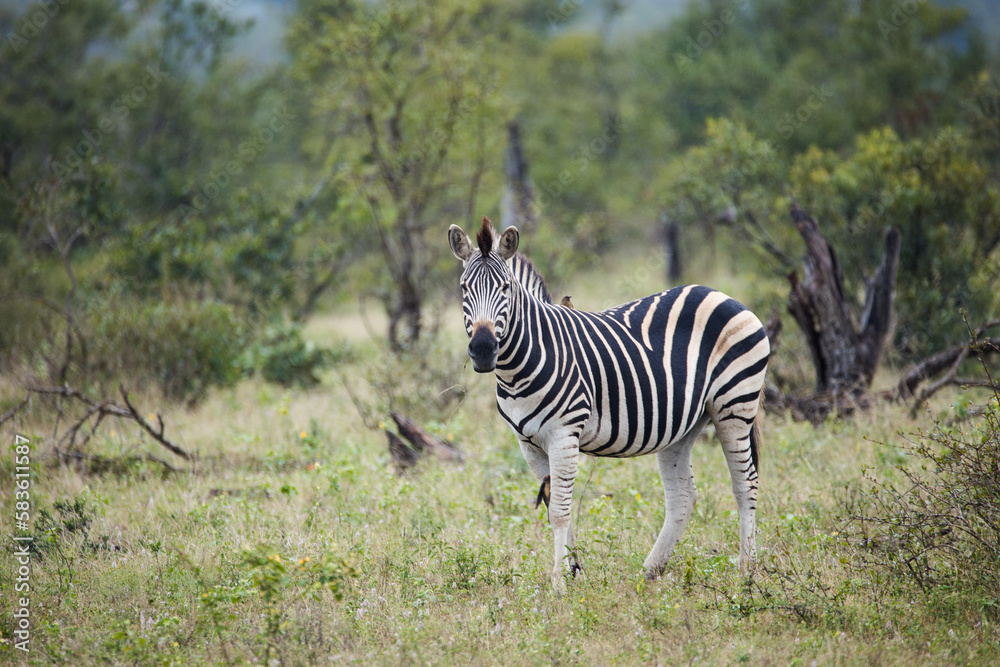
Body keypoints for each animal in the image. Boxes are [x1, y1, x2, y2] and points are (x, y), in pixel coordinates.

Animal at [448, 217, 770, 591]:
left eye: (505, 289)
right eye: (463, 289)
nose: (484, 349)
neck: (520, 367)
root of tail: (720, 294)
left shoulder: (563, 435)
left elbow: (560, 510)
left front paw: (558, 582)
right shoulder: (528, 443)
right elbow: (554, 506)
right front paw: (573, 570)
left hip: (734, 405)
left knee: (745, 484)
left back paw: (746, 571)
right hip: (685, 424)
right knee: (683, 495)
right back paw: (651, 569)